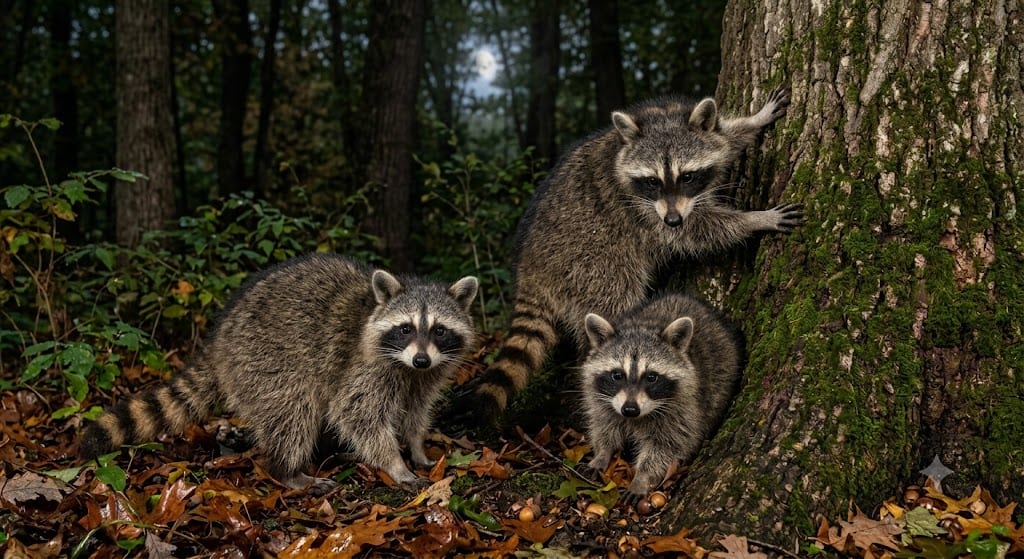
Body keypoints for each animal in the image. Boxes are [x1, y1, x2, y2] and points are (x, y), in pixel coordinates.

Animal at [81, 253, 478, 493]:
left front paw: (417, 446)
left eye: (439, 330)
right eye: (406, 328)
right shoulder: (362, 367)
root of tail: (219, 339)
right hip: (263, 358)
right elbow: (357, 415)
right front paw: (394, 463)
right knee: (292, 411)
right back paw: (287, 470)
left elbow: (416, 411)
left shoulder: (425, 376)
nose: (422, 360)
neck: (405, 365)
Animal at [460, 87, 799, 421]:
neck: (662, 116)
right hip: (591, 267)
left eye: (687, 177)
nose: (673, 218)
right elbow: (694, 233)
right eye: (652, 181)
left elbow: (727, 139)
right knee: (615, 307)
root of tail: (530, 270)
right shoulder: (641, 211)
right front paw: (754, 220)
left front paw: (754, 121)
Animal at [580, 292, 744, 499]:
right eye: (617, 375)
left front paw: (642, 477)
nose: (630, 409)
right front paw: (602, 453)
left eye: (651, 377)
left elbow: (669, 445)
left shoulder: (683, 407)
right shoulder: (602, 399)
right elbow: (604, 426)